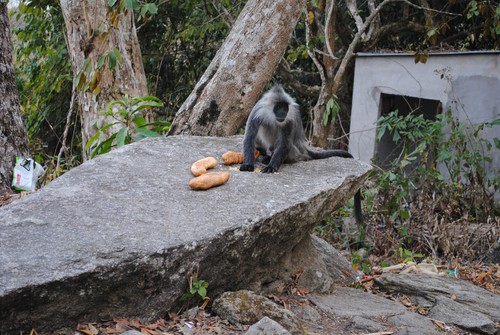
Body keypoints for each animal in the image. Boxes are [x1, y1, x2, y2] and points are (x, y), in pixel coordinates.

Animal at [239, 84, 364, 226]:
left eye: (285, 108)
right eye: (278, 107)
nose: (283, 113)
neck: (271, 115)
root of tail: (303, 148)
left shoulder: (288, 120)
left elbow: (285, 144)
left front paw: (271, 166)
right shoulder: (258, 110)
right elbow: (249, 137)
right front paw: (248, 165)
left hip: (295, 152)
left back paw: (270, 158)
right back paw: (264, 153)